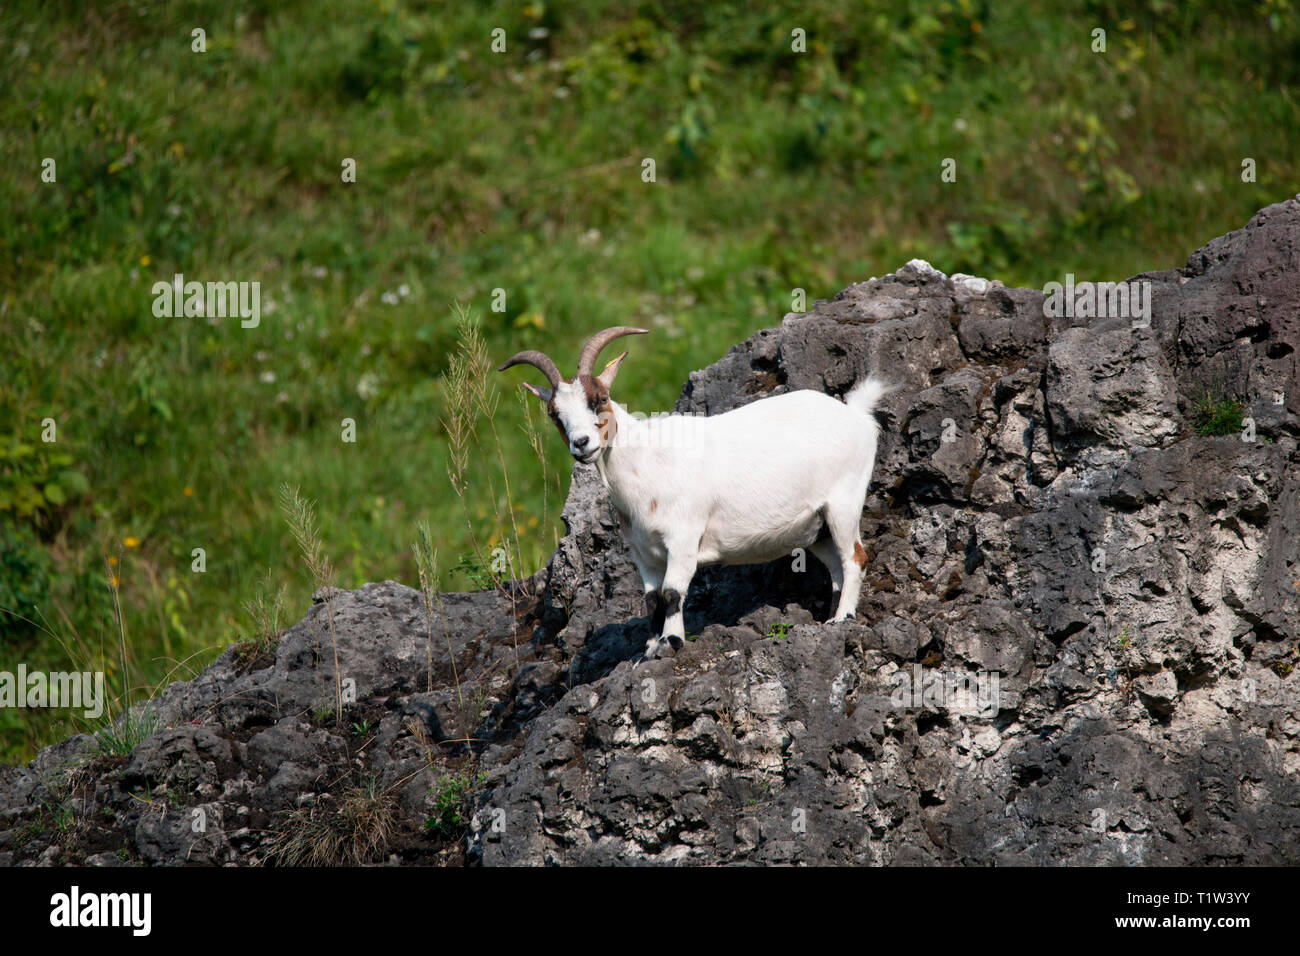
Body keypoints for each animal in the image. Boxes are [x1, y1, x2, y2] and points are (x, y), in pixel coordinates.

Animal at [499, 325, 894, 660]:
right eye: (555, 414)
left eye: (601, 398)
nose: (582, 444)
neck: (648, 464)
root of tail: (855, 414)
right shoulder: (643, 553)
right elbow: (652, 599)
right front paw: (648, 649)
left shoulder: (684, 537)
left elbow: (673, 592)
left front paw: (672, 642)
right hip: (816, 527)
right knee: (837, 567)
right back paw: (831, 615)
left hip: (843, 502)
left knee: (855, 558)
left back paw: (842, 619)